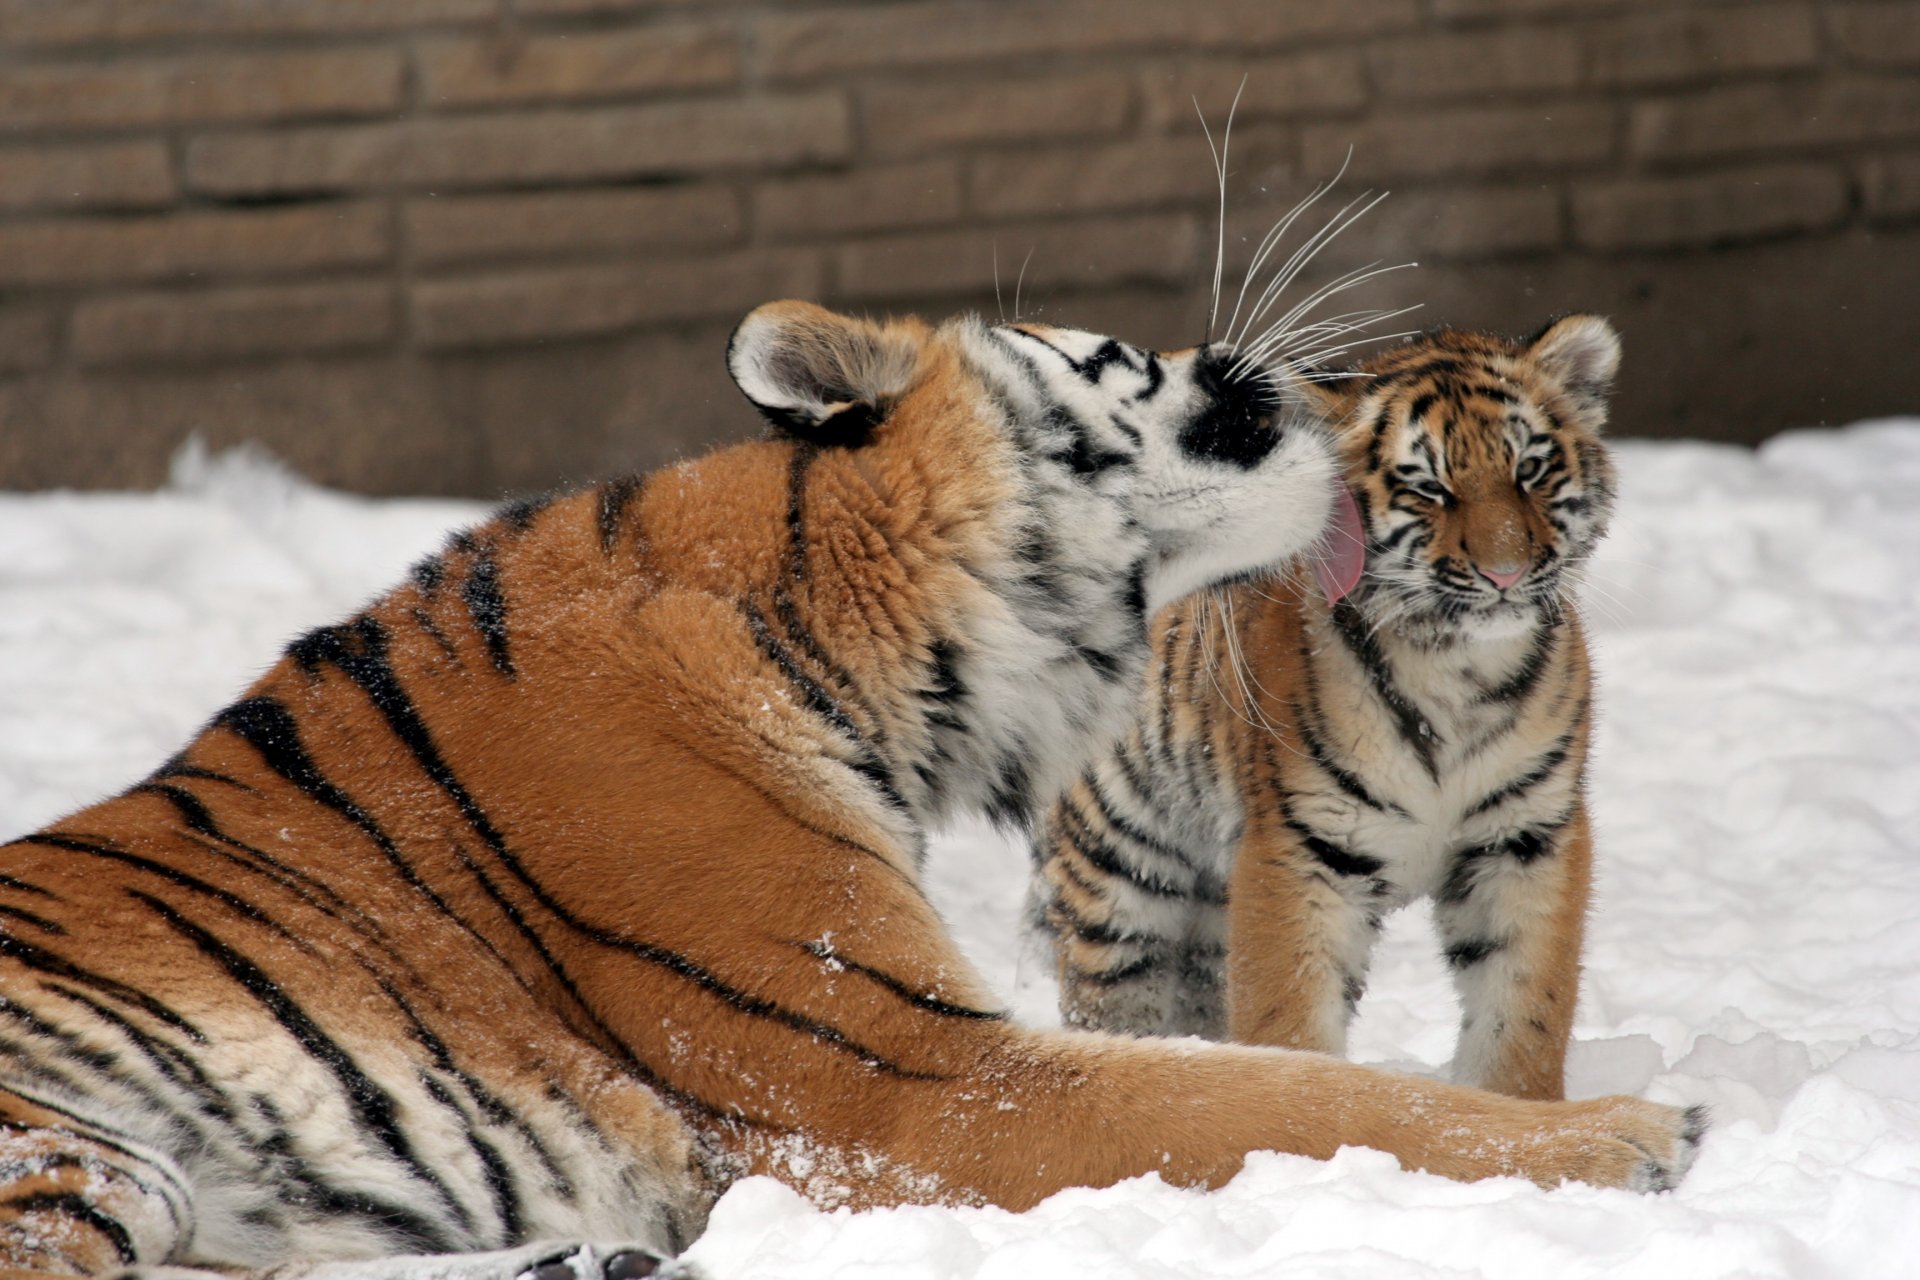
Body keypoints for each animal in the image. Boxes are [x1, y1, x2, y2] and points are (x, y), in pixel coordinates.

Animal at [1035, 315, 1626, 1103]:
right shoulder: (1300, 850)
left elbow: (1523, 1011)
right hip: (1120, 873)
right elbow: (1289, 1020)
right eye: (1428, 487)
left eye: (1529, 469)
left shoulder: (1528, 838)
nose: (1506, 573)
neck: (1457, 666)